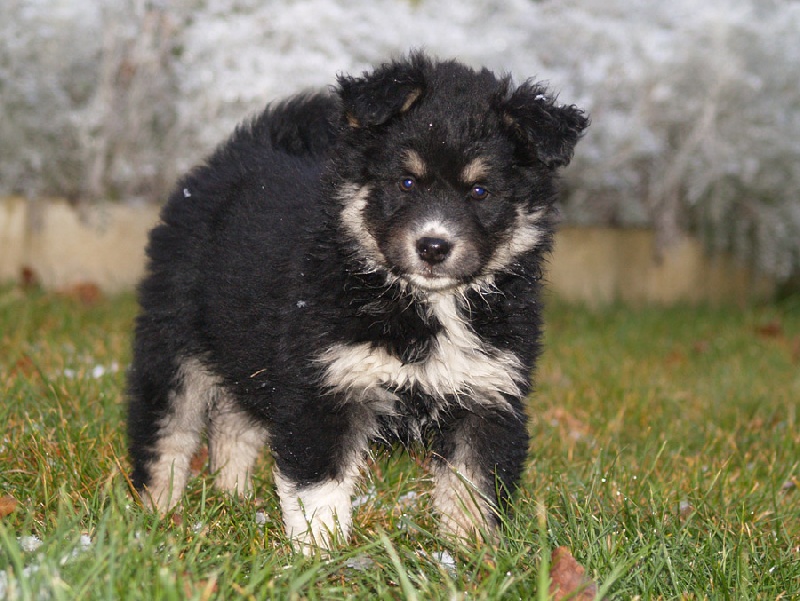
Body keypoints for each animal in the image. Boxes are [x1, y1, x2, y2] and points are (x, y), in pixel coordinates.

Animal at [126, 51, 588, 548]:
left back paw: (234, 499)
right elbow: (319, 487)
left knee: (236, 421)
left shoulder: (489, 395)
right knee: (166, 430)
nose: (433, 246)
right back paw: (157, 512)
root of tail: (240, 151)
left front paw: (468, 555)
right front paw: (320, 552)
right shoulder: (325, 387)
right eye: (406, 182)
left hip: (249, 346)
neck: (423, 306)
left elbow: (472, 489)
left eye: (480, 191)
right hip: (176, 338)